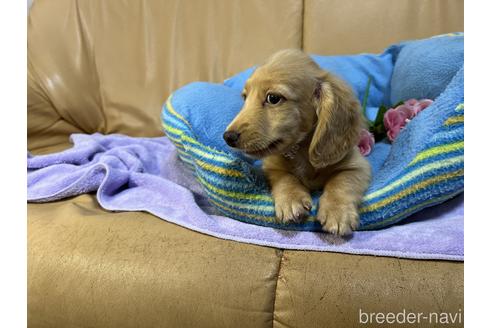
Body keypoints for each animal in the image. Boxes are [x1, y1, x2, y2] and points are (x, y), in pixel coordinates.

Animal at [223, 48, 368, 236]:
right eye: (245, 97)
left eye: (273, 98)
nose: (228, 137)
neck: (302, 150)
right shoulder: (272, 165)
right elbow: (285, 177)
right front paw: (291, 199)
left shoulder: (358, 166)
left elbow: (342, 181)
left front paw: (337, 211)